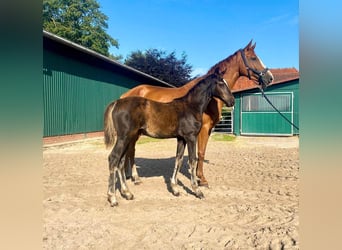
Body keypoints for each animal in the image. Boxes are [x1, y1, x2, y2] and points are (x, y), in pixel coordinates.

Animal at [103, 68, 234, 205]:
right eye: (221, 83)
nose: (232, 101)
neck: (191, 106)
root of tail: (117, 102)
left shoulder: (181, 139)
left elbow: (178, 160)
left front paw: (175, 189)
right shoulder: (191, 137)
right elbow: (192, 160)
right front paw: (197, 191)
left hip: (128, 138)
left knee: (121, 161)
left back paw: (127, 193)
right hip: (124, 137)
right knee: (113, 158)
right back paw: (112, 197)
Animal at [120, 40, 272, 186]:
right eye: (253, 58)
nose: (270, 78)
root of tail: (125, 95)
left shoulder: (206, 130)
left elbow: (198, 153)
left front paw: (198, 176)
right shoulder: (202, 129)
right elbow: (200, 152)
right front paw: (202, 179)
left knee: (129, 151)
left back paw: (129, 176)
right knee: (130, 151)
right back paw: (133, 177)